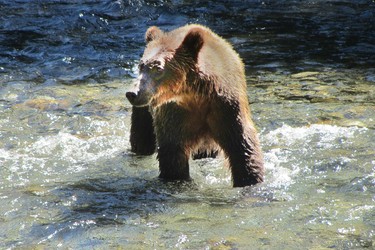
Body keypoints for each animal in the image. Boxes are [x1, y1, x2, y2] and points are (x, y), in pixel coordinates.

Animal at [126, 23, 264, 188]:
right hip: (145, 112)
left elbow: (241, 145)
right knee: (141, 135)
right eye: (141, 66)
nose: (132, 93)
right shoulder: (176, 112)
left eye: (158, 68)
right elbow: (173, 151)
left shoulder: (226, 107)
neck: (195, 95)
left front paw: (250, 179)